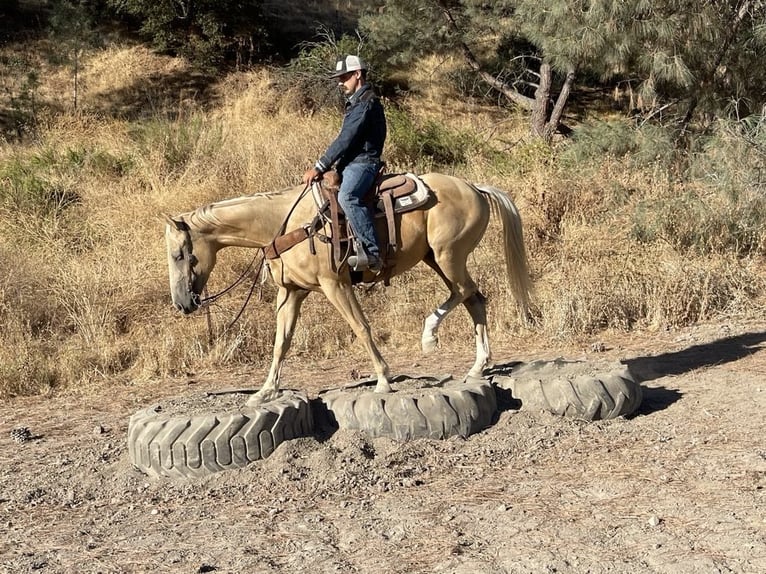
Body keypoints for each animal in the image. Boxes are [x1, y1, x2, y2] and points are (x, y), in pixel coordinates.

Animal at [164, 172, 532, 406]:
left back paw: (431, 335)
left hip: (448, 256)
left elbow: (361, 328)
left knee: (467, 294)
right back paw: (477, 366)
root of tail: (474, 188)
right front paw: (265, 391)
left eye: (179, 254)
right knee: (473, 299)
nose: (182, 303)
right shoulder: (291, 292)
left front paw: (383, 379)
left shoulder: (335, 284)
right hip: (437, 260)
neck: (285, 223)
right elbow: (281, 343)